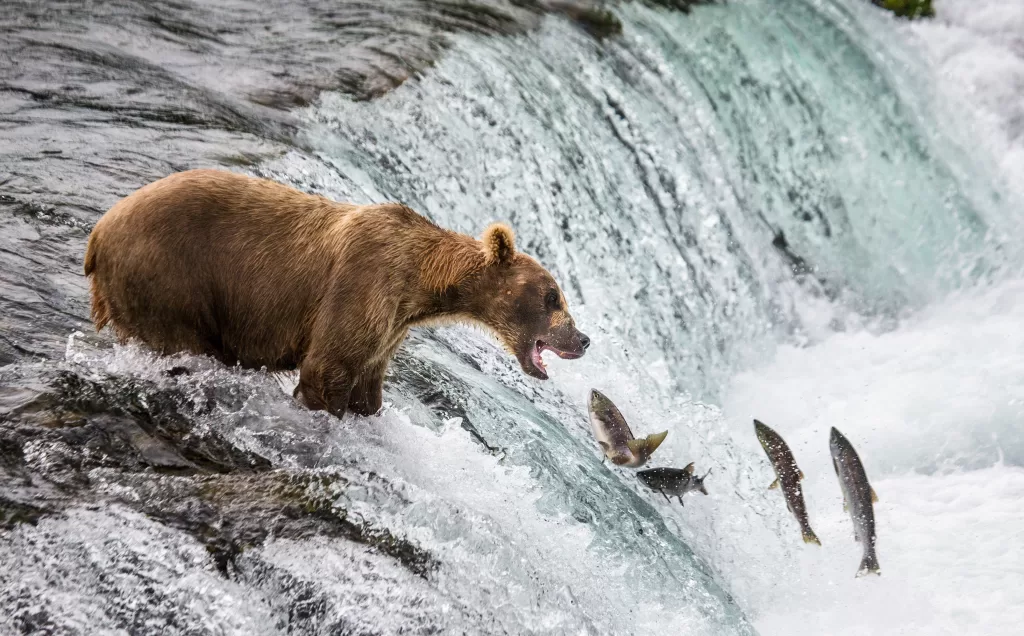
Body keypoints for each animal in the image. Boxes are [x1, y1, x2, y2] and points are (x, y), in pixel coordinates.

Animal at [83, 169, 590, 418]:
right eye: (553, 297)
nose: (582, 339)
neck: (421, 283)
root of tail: (97, 233)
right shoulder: (364, 283)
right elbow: (328, 368)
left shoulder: (390, 327)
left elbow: (367, 384)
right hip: (169, 279)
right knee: (181, 344)